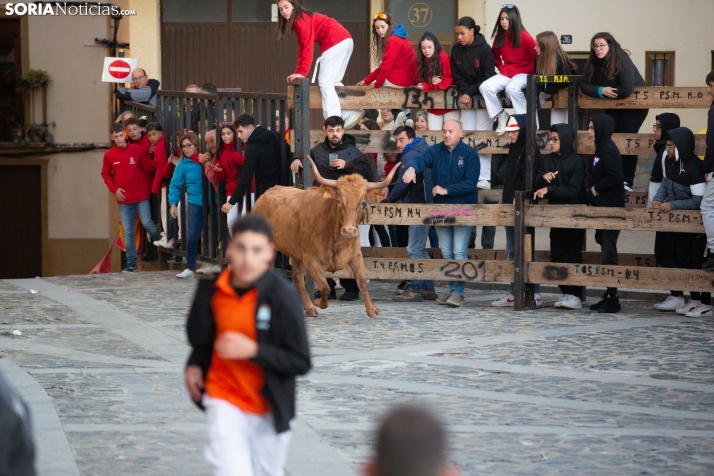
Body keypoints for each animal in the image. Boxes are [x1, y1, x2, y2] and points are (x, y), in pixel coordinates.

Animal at [250, 158, 394, 318]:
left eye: (362, 202)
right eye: (339, 201)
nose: (349, 231)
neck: (336, 239)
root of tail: (264, 195)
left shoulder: (355, 255)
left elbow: (362, 282)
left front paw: (372, 309)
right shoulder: (311, 260)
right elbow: (325, 287)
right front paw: (319, 302)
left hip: (296, 253)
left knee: (297, 278)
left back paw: (309, 308)